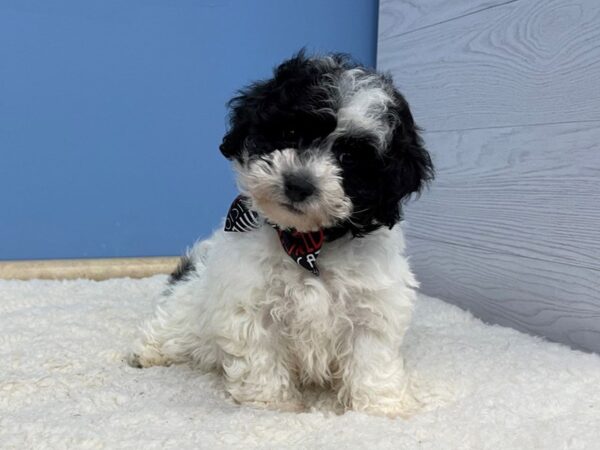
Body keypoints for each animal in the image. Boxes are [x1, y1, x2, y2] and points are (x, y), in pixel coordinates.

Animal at [129, 52, 434, 418]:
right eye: (290, 131)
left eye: (349, 157)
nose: (299, 183)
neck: (307, 243)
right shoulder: (250, 301)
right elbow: (261, 356)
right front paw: (271, 405)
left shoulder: (373, 304)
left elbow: (371, 356)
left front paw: (380, 408)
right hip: (187, 309)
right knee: (173, 324)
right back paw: (149, 351)